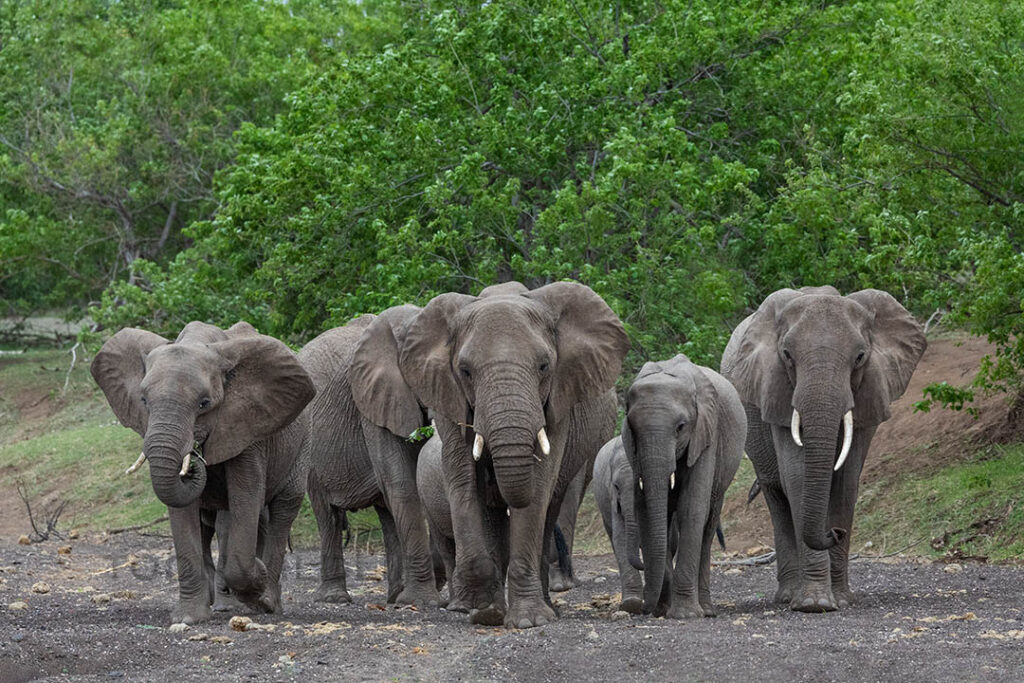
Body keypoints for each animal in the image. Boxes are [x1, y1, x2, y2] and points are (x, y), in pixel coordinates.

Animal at [91, 321, 315, 624]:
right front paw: (189, 618)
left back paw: (267, 602)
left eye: (204, 403)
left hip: (302, 445)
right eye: (144, 401)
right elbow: (183, 513)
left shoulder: (249, 429)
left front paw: (257, 585)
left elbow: (246, 496)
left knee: (282, 511)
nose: (196, 454)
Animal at [302, 307, 441, 607]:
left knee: (386, 512)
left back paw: (394, 596)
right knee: (327, 514)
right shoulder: (372, 401)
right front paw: (422, 602)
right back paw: (335, 599)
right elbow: (403, 483)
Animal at [394, 280, 629, 628]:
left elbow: (539, 487)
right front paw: (483, 608)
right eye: (465, 371)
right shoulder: (447, 396)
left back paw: (547, 607)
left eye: (544, 366)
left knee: (550, 508)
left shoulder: (559, 398)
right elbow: (462, 480)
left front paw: (529, 621)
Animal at [594, 354, 744, 618]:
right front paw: (660, 609)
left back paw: (706, 609)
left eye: (681, 427)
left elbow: (691, 508)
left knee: (708, 523)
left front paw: (685, 614)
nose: (646, 610)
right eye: (632, 428)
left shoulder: (707, 432)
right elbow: (648, 514)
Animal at [721, 286, 926, 612]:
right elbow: (797, 476)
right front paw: (814, 604)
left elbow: (846, 480)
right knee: (776, 493)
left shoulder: (869, 391)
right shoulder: (777, 390)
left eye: (860, 357)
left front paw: (840, 599)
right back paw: (788, 596)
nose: (835, 533)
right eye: (787, 355)